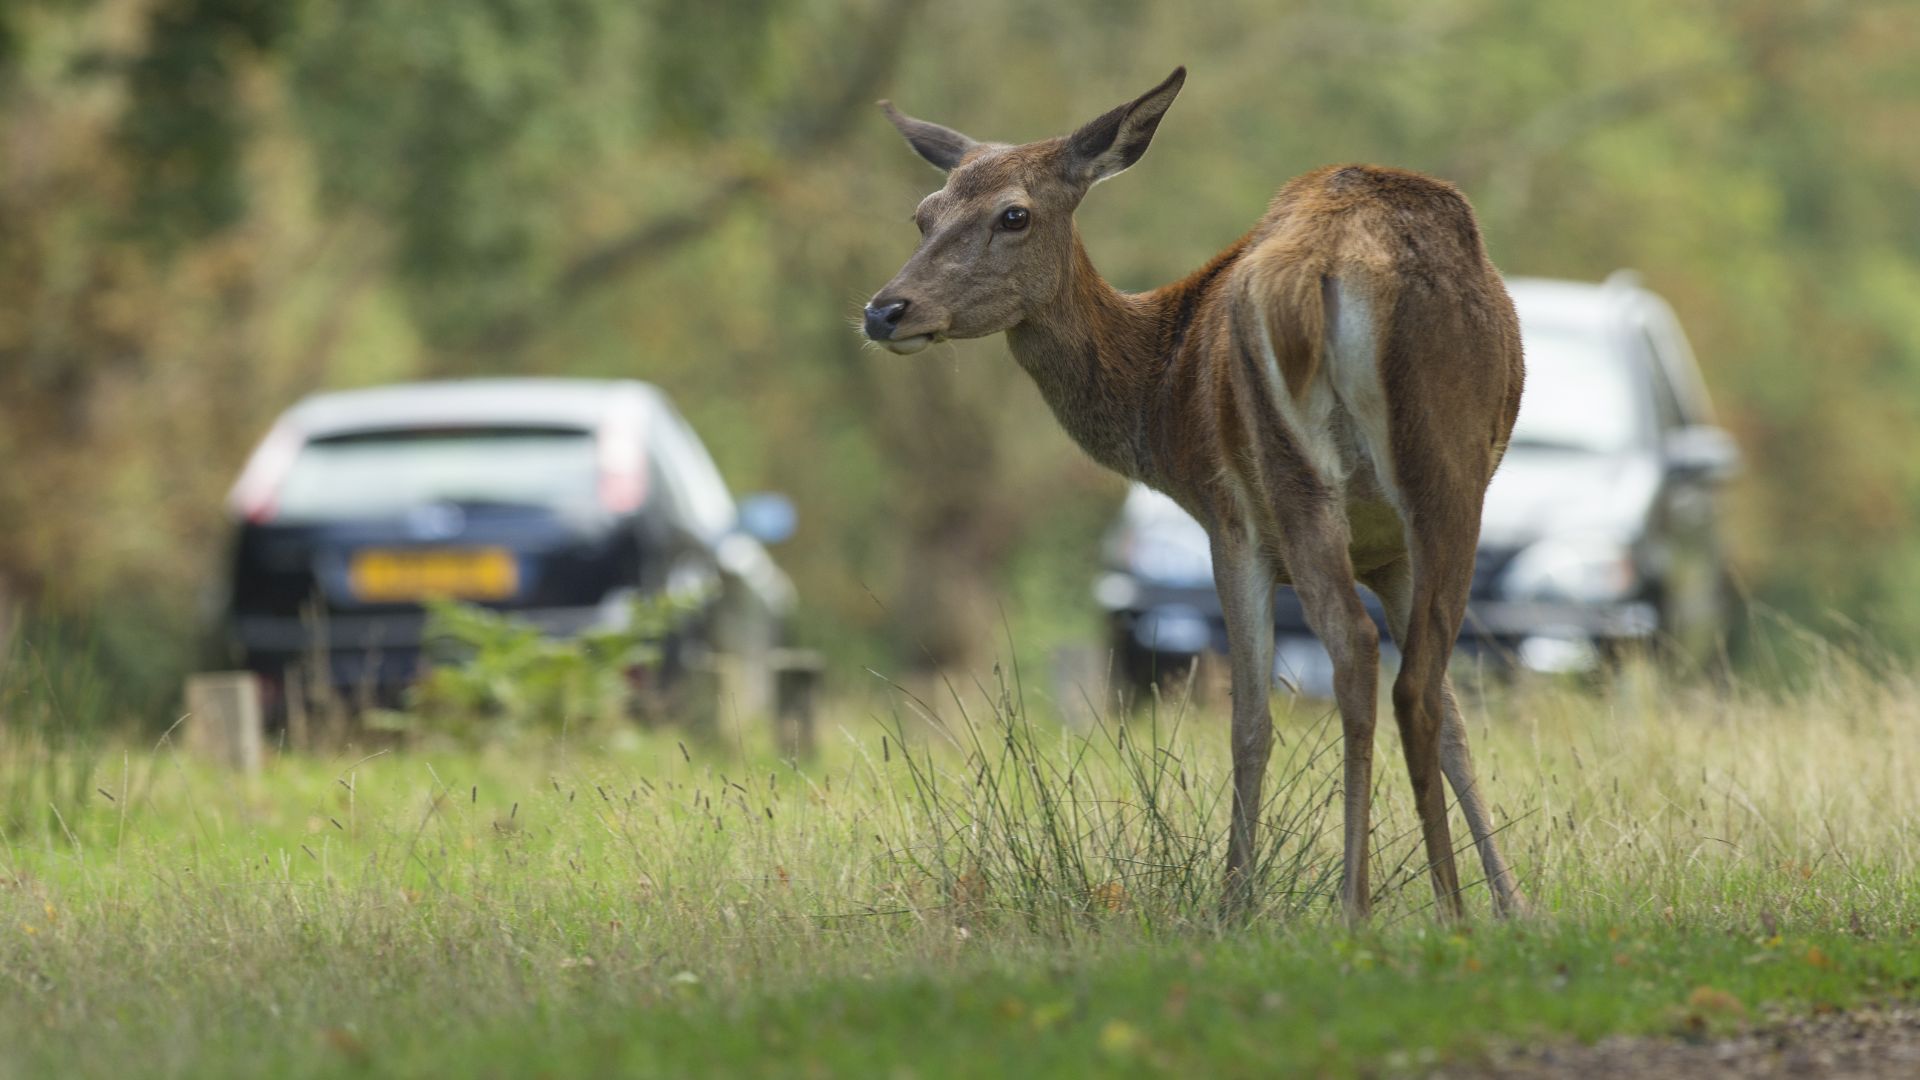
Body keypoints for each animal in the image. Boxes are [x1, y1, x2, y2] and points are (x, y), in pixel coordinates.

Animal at [871, 67, 1528, 910]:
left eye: (1013, 214)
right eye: (923, 214)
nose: (885, 309)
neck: (1162, 386)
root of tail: (1331, 264)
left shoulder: (1227, 519)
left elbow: (1248, 719)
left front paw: (1232, 905)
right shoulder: (1388, 552)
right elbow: (1453, 718)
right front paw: (1512, 905)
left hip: (1293, 475)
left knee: (1352, 652)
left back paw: (1355, 906)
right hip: (1450, 474)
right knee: (1417, 681)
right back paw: (1450, 906)